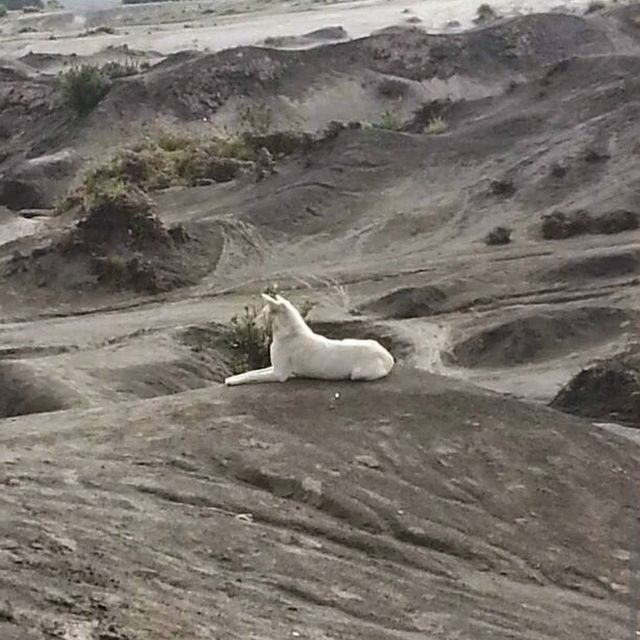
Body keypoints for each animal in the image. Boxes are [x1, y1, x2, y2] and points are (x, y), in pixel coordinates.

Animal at [225, 294, 396, 384]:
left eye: (265, 313)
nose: (251, 324)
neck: (291, 333)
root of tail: (388, 356)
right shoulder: (274, 367)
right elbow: (252, 372)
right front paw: (233, 377)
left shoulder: (279, 374)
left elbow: (253, 376)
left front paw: (232, 382)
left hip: (358, 374)